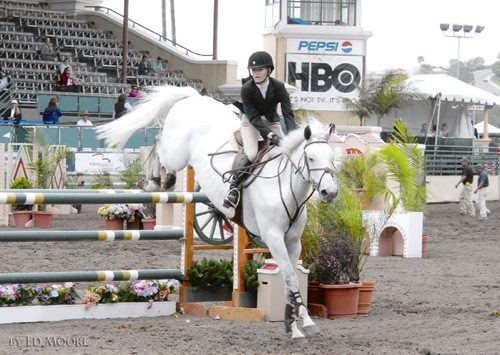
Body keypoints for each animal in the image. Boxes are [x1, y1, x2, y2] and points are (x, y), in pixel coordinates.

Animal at [96, 85, 340, 344]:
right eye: (311, 158)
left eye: (332, 157)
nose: (330, 192)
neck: (284, 186)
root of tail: (194, 98)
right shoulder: (273, 237)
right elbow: (291, 278)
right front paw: (302, 326)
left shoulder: (292, 241)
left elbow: (290, 280)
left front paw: (296, 326)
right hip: (177, 153)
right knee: (160, 143)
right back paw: (159, 180)